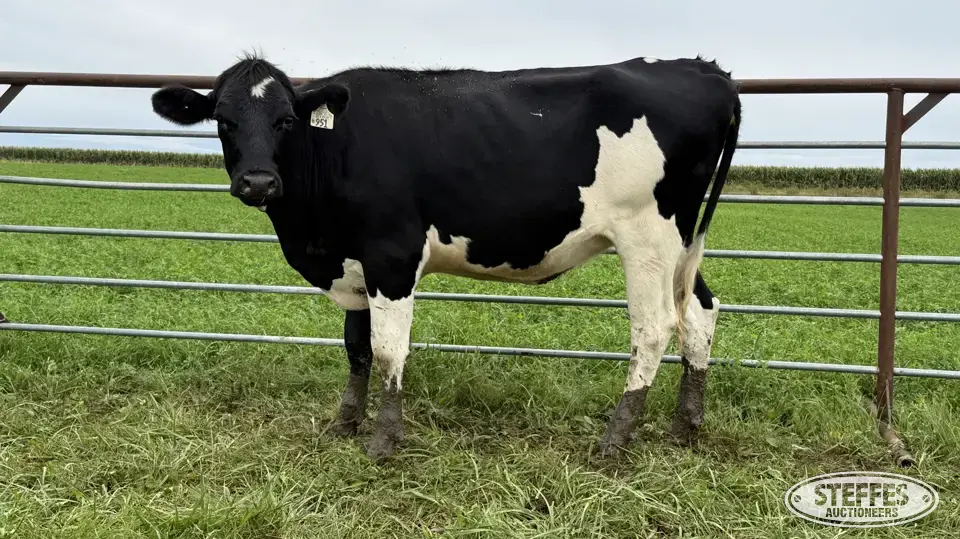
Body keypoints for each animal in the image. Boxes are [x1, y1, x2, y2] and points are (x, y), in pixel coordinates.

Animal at [150, 53, 741, 461]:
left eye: (285, 121)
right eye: (222, 119)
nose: (257, 182)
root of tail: (702, 69)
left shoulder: (391, 256)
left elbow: (388, 350)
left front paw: (384, 441)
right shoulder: (354, 264)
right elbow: (356, 348)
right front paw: (344, 424)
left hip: (648, 236)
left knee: (654, 326)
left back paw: (615, 439)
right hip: (681, 243)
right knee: (701, 311)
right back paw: (685, 426)